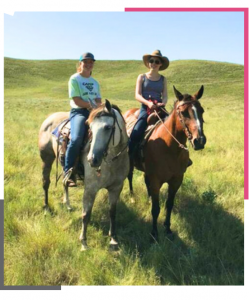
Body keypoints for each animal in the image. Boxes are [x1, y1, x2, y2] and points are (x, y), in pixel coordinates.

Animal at [39, 99, 129, 250]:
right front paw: (84, 242)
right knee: (46, 183)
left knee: (65, 182)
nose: (92, 160)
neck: (112, 162)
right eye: (90, 128)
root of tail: (49, 118)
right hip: (47, 159)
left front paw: (113, 239)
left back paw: (67, 204)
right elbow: (86, 214)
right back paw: (46, 208)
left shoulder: (116, 188)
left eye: (107, 127)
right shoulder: (90, 189)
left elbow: (112, 212)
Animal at [123, 85, 207, 241]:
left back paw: (149, 198)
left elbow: (169, 205)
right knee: (130, 176)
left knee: (145, 180)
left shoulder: (176, 180)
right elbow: (156, 209)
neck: (169, 147)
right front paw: (154, 234)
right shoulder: (156, 181)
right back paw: (132, 195)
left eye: (202, 110)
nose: (199, 141)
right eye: (183, 112)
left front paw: (167, 229)